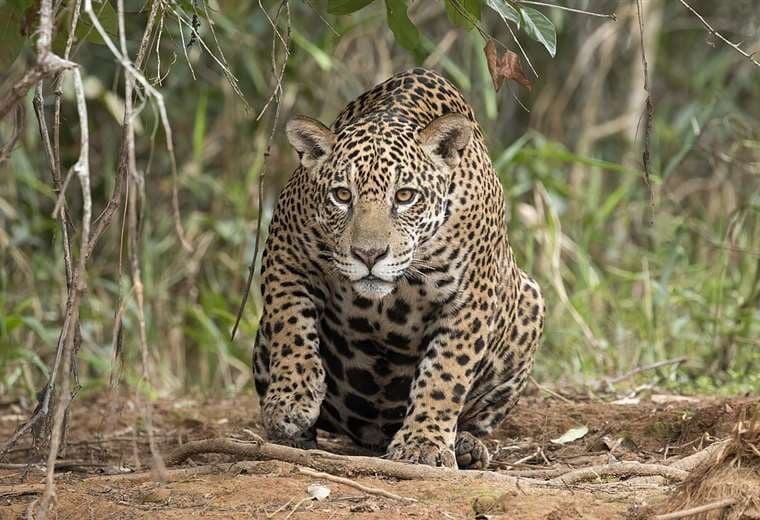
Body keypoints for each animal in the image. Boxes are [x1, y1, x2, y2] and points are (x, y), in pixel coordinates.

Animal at [252, 68, 544, 470]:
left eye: (405, 196)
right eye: (342, 196)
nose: (368, 254)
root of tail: (372, 434)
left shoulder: (472, 295)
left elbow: (446, 372)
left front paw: (423, 443)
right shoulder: (285, 253)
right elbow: (291, 324)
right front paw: (291, 401)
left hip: (530, 302)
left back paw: (466, 446)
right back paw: (293, 438)